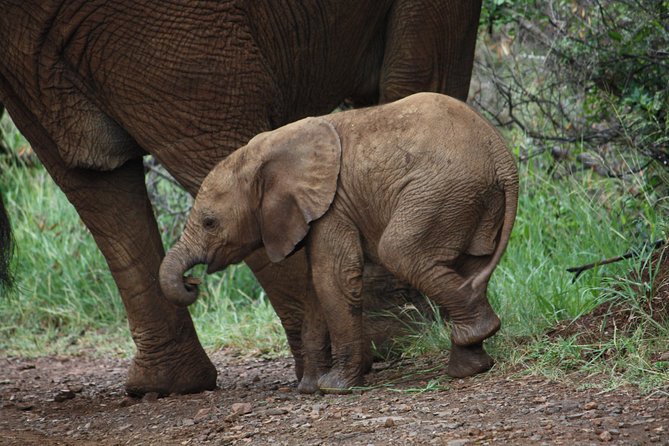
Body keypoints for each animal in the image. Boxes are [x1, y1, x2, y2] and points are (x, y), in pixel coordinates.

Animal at [160, 93, 519, 393]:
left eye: (209, 222)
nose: (192, 282)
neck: (262, 151)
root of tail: (501, 154)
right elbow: (314, 287)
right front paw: (308, 388)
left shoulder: (332, 204)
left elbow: (331, 277)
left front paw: (335, 387)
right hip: (469, 199)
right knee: (470, 264)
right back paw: (469, 366)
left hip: (443, 190)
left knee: (399, 252)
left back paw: (475, 339)